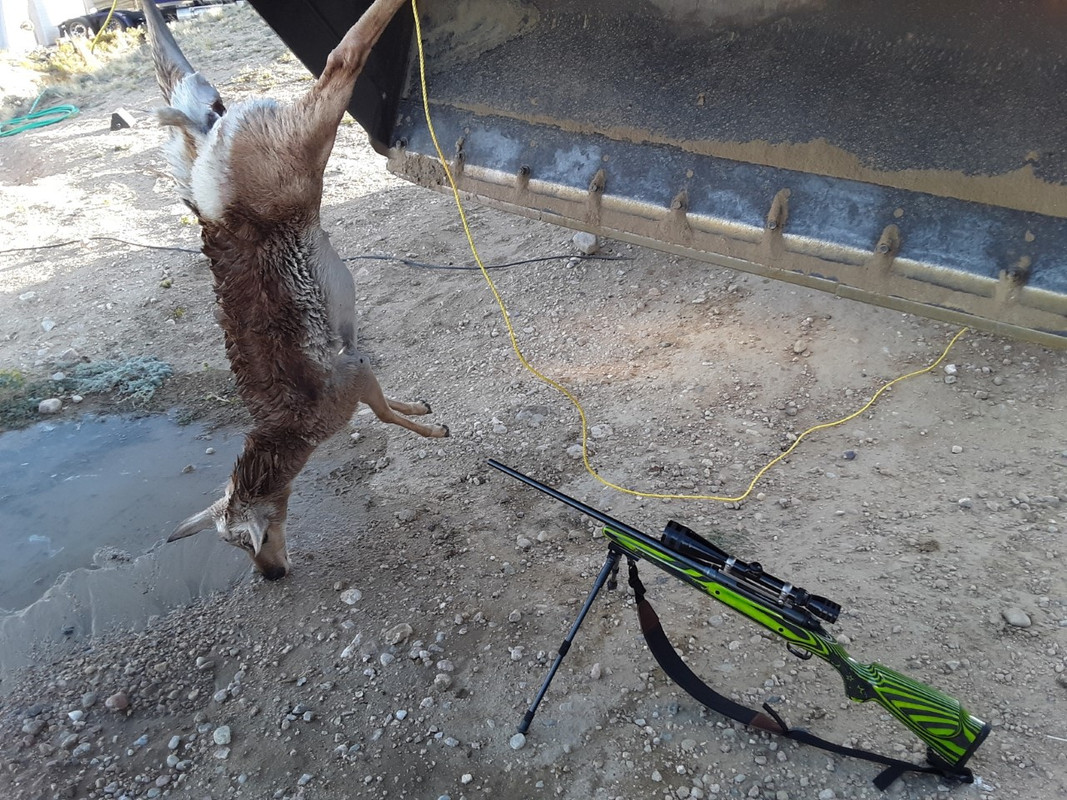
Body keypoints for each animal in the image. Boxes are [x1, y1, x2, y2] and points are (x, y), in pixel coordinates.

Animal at [145, 0, 448, 579]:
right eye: (235, 547)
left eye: (251, 539)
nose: (272, 575)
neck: (292, 434)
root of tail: (215, 215)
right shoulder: (355, 363)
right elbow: (382, 394)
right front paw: (424, 409)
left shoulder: (351, 380)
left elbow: (381, 414)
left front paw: (432, 431)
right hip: (258, 146)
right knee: (192, 90)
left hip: (301, 150)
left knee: (340, 60)